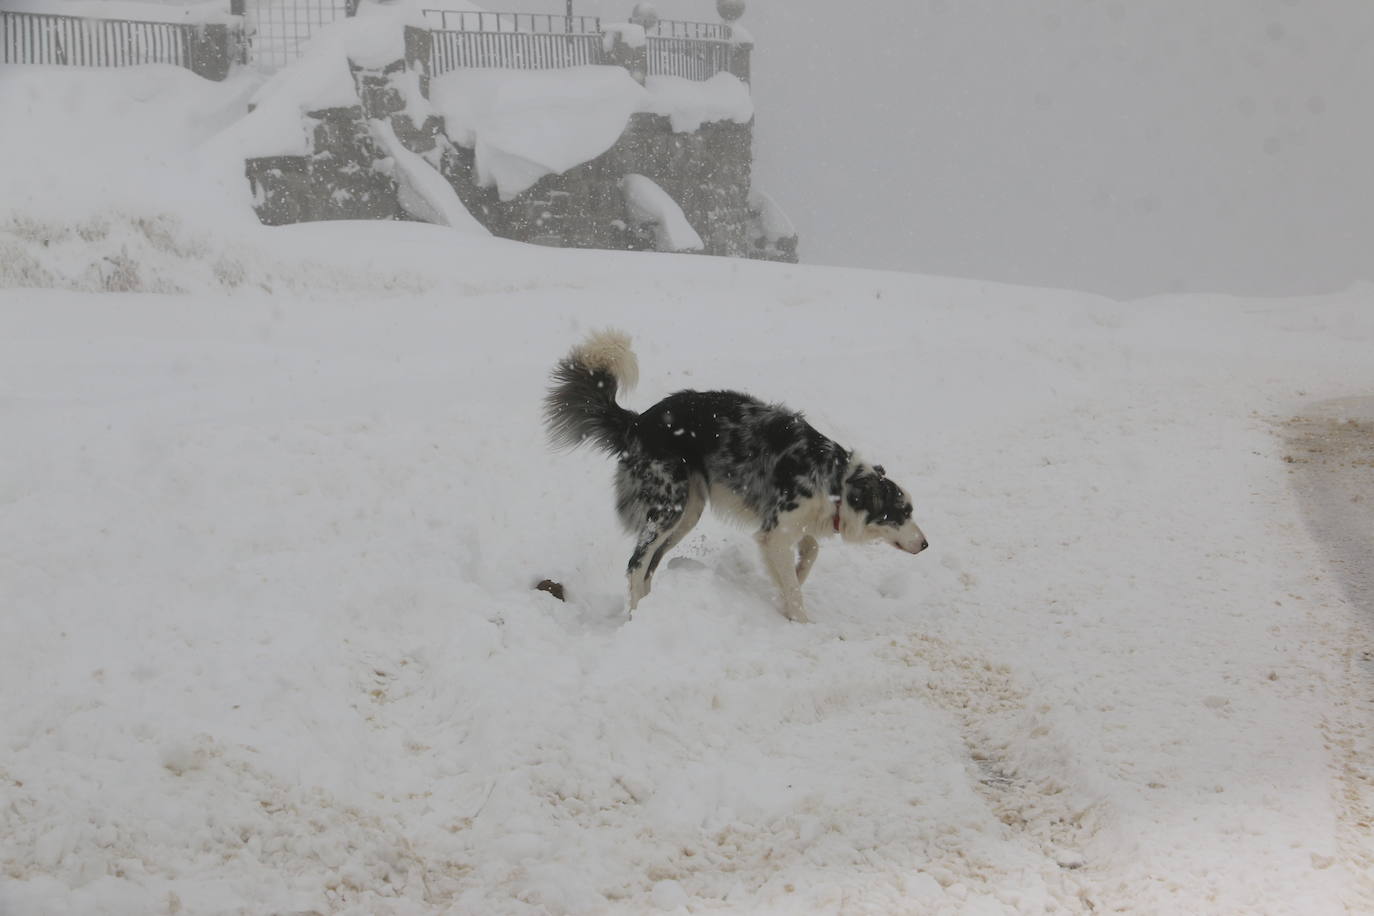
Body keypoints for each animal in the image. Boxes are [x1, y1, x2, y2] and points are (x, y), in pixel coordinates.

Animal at [541, 329, 928, 623]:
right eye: (901, 513)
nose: (925, 544)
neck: (836, 480)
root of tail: (637, 422)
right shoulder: (775, 530)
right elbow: (793, 581)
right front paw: (799, 619)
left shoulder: (791, 524)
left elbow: (811, 550)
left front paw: (794, 578)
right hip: (669, 504)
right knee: (636, 564)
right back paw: (636, 615)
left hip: (688, 512)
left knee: (650, 563)